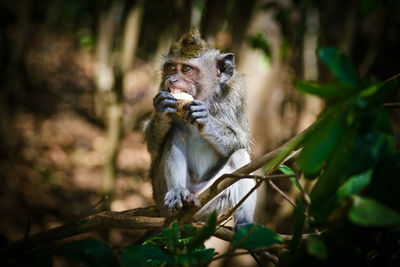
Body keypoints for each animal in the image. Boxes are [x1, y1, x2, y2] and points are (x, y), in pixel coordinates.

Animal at [144, 28, 256, 230]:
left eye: (186, 69)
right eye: (170, 68)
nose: (172, 80)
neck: (204, 98)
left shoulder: (235, 94)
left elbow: (242, 141)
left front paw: (205, 119)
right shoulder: (161, 86)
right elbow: (153, 147)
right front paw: (162, 108)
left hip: (210, 201)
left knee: (240, 155)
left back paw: (244, 224)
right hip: (162, 198)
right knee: (174, 133)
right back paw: (179, 193)